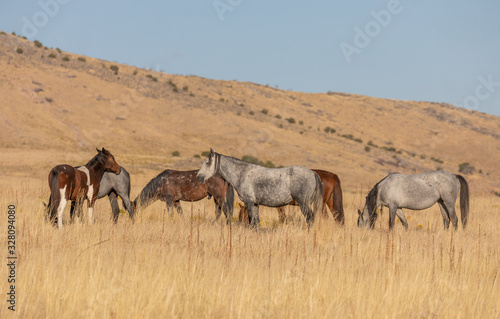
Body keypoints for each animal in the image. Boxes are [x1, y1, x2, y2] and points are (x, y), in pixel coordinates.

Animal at [193, 149, 322, 228]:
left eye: (207, 162)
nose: (198, 177)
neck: (242, 174)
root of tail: (313, 173)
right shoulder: (255, 204)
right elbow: (256, 223)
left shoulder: (249, 202)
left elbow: (252, 222)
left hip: (304, 203)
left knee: (309, 219)